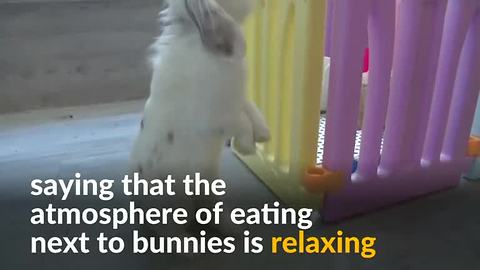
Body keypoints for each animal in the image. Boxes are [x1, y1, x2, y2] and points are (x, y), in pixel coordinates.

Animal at [129, 0, 270, 236]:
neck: (194, 35)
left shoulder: (238, 99)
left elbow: (250, 109)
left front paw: (263, 134)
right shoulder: (218, 116)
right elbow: (241, 122)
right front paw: (248, 146)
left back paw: (234, 228)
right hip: (170, 210)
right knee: (170, 232)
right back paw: (191, 244)